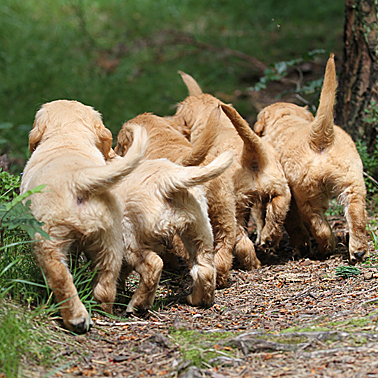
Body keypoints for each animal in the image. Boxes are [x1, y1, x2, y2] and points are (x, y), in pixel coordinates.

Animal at [19, 99, 148, 332]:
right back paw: (102, 312)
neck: (67, 138)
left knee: (61, 279)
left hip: (48, 240)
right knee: (105, 285)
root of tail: (78, 178)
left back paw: (76, 319)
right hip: (110, 240)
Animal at [112, 137, 233, 314]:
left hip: (130, 237)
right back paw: (199, 300)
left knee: (153, 266)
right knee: (205, 269)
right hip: (198, 231)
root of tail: (167, 180)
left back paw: (138, 305)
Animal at [252, 54, 368, 262]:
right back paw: (358, 251)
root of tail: (319, 138)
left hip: (308, 196)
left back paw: (324, 250)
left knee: (321, 228)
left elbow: (288, 222)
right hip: (353, 184)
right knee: (356, 217)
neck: (284, 118)